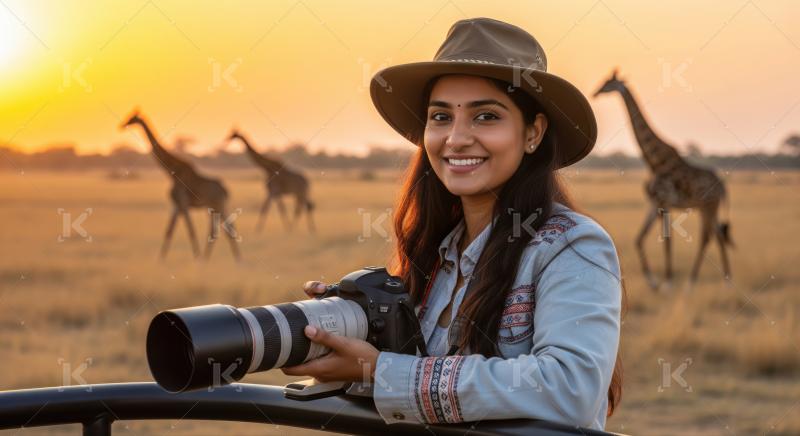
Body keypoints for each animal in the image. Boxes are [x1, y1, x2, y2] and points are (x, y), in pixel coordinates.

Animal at [120, 111, 241, 261]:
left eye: (131, 118)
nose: (122, 125)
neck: (171, 172)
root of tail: (226, 190)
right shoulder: (176, 205)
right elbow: (169, 231)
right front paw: (160, 260)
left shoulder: (182, 203)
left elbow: (190, 230)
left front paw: (197, 258)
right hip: (215, 207)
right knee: (223, 229)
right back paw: (221, 258)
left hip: (218, 205)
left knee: (226, 229)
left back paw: (229, 259)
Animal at [593, 69, 733, 291]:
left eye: (608, 82)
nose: (595, 92)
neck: (654, 161)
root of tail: (723, 186)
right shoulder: (654, 204)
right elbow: (639, 239)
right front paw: (654, 282)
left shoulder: (664, 202)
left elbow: (667, 240)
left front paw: (667, 282)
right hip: (706, 207)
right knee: (712, 236)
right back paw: (698, 281)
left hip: (710, 205)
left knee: (713, 236)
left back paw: (713, 282)